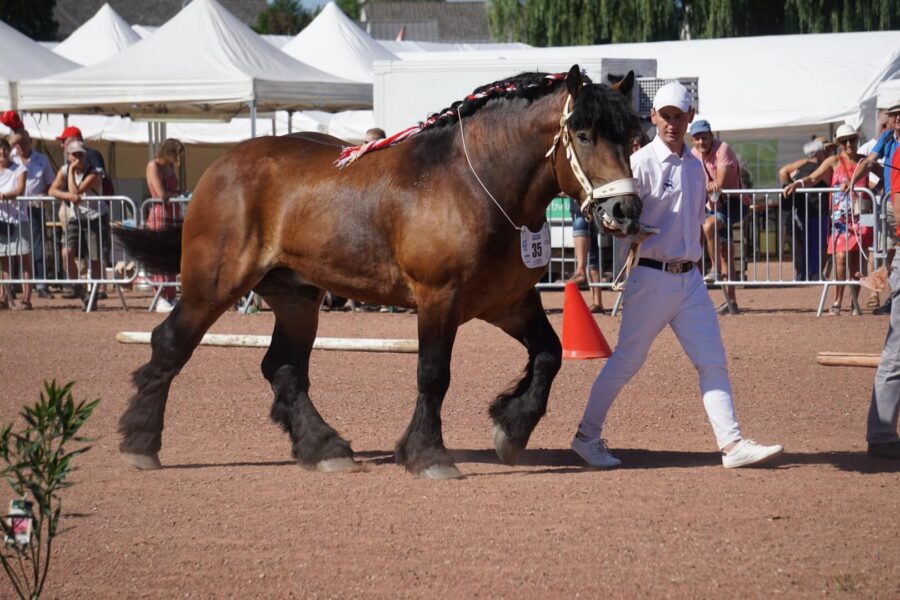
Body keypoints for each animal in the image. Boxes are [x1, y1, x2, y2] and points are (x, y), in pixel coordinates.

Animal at [116, 65, 644, 478]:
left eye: (632, 138)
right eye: (583, 134)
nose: (625, 210)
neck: (478, 185)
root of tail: (220, 166)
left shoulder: (507, 303)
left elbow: (549, 355)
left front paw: (510, 428)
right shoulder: (439, 298)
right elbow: (433, 373)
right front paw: (428, 454)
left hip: (296, 296)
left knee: (283, 367)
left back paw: (324, 448)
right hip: (214, 284)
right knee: (171, 343)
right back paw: (140, 443)